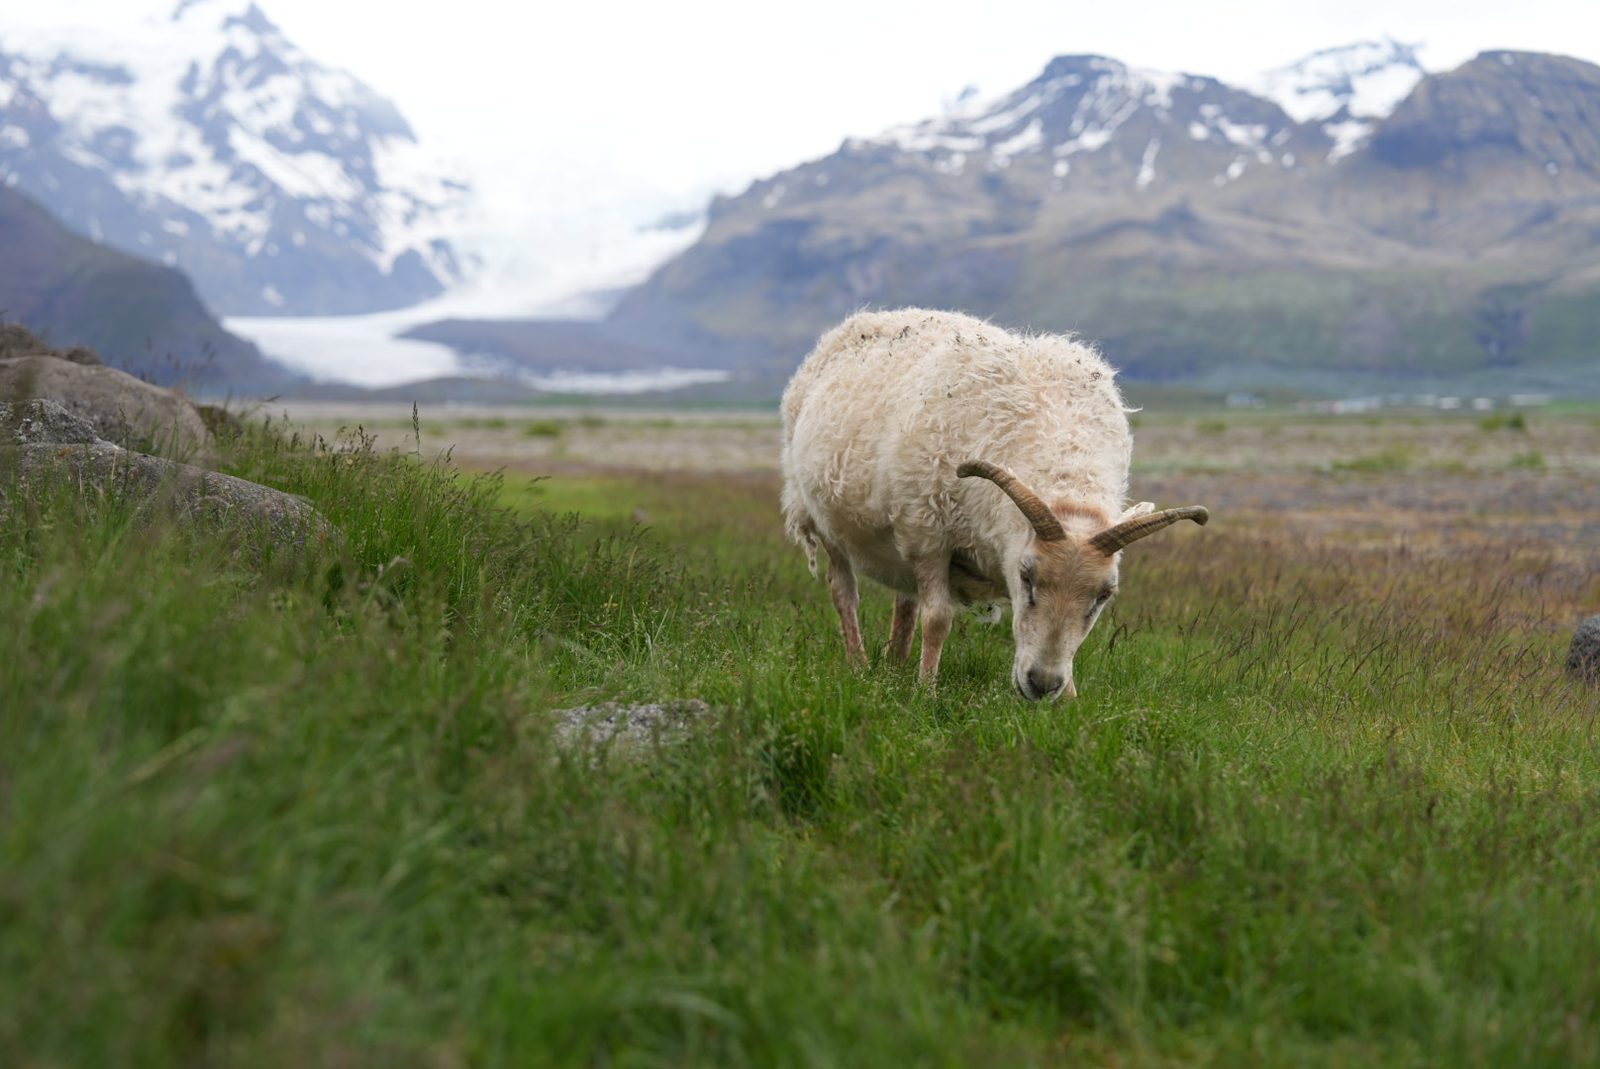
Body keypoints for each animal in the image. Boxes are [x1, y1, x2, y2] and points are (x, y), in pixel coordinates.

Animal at [780, 308, 1209, 699]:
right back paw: (860, 665)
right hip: (821, 517)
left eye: (1103, 596)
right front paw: (926, 692)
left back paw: (895, 664)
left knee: (905, 599)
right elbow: (937, 619)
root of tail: (868, 317)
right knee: (844, 591)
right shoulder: (927, 533)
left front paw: (1071, 705)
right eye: (1027, 577)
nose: (1042, 684)